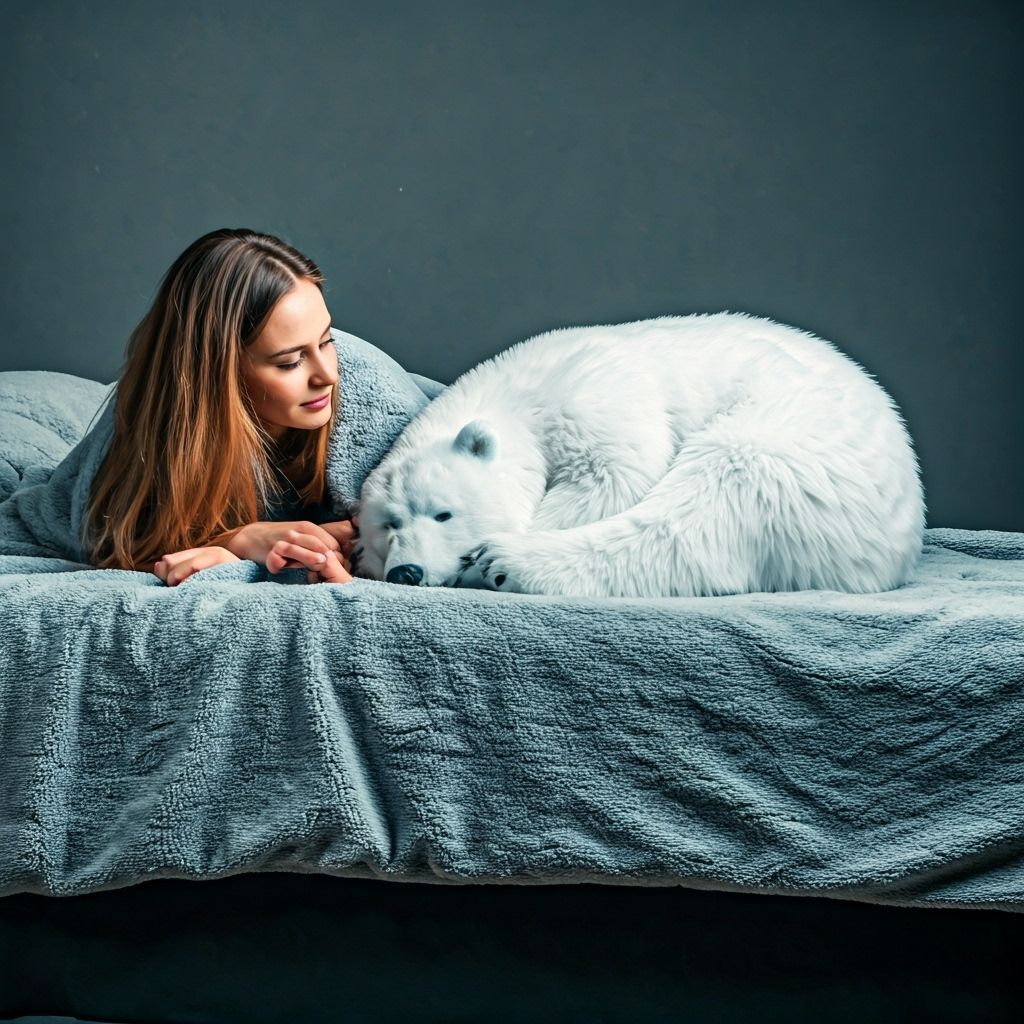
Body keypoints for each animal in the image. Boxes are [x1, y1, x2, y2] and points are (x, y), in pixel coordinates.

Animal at [351, 312, 925, 598]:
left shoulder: (597, 395)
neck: (521, 390)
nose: (407, 572)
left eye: (444, 513)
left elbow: (613, 475)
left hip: (793, 440)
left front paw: (490, 549)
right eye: (388, 525)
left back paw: (507, 564)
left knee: (705, 504)